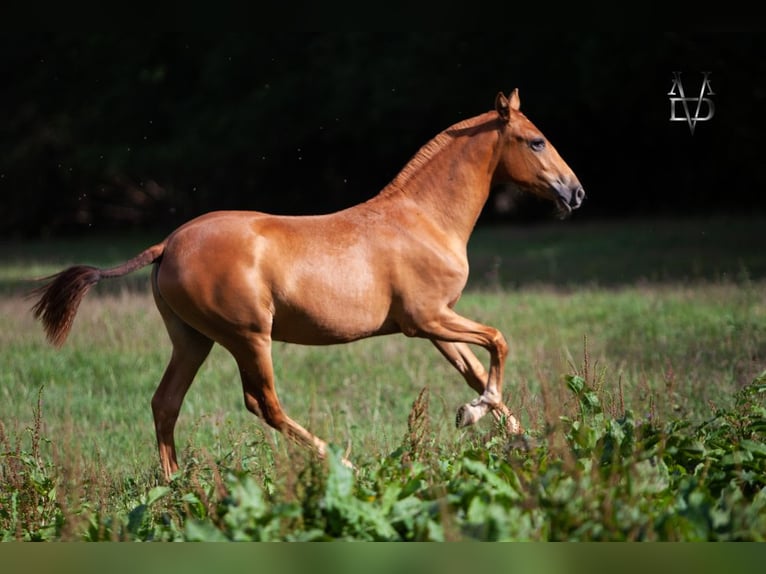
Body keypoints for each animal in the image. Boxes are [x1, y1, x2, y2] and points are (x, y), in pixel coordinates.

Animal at [28, 90, 584, 484]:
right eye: (536, 140)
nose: (576, 192)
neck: (422, 220)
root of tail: (167, 245)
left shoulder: (435, 325)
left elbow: (475, 371)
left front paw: (522, 442)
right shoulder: (427, 318)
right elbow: (498, 341)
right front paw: (476, 417)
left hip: (193, 340)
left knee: (165, 403)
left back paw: (175, 489)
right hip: (248, 337)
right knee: (263, 404)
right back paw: (344, 466)